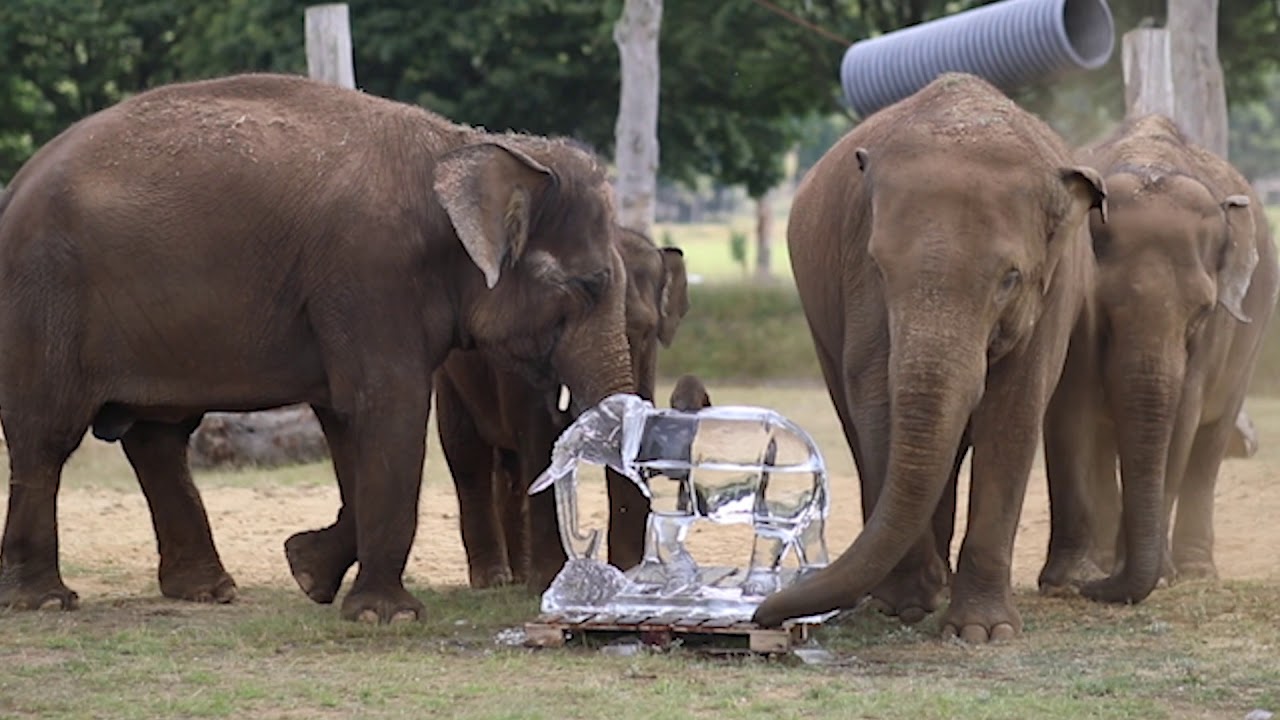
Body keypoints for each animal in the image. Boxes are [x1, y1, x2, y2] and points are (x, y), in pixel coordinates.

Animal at [0, 73, 635, 623]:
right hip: (43, 297)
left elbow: (350, 423)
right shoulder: (372, 276)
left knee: (158, 436)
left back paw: (207, 591)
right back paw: (46, 600)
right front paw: (386, 616)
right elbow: (389, 410)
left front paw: (307, 571)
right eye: (589, 286)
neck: (465, 148)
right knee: (46, 436)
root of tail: (14, 187)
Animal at [430, 225, 688, 593]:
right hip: (451, 376)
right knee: (467, 455)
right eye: (560, 326)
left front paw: (629, 575)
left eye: (643, 332)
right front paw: (550, 581)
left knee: (511, 469)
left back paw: (519, 576)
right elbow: (540, 435)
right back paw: (493, 580)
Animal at [749, 73, 1107, 642]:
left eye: (1010, 278)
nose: (762, 613)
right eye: (880, 266)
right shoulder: (859, 277)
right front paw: (907, 606)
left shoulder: (1056, 291)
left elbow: (1015, 412)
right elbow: (876, 397)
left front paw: (982, 632)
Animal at [1038, 115, 1279, 603]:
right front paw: (1072, 580)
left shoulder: (1210, 340)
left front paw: (1159, 577)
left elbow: (1182, 422)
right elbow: (1068, 413)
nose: (1091, 589)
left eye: (1202, 312)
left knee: (1210, 441)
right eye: (1100, 309)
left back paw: (1196, 571)